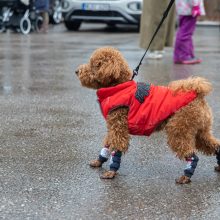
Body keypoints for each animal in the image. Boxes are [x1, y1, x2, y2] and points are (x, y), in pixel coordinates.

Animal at [75, 46, 220, 184]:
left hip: (178, 130)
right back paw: (218, 166)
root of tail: (198, 95)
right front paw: (99, 161)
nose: (76, 71)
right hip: (200, 131)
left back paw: (186, 176)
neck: (119, 87)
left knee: (192, 155)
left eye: (94, 64)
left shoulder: (118, 127)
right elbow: (107, 144)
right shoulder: (113, 126)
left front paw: (111, 172)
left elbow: (117, 147)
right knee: (215, 145)